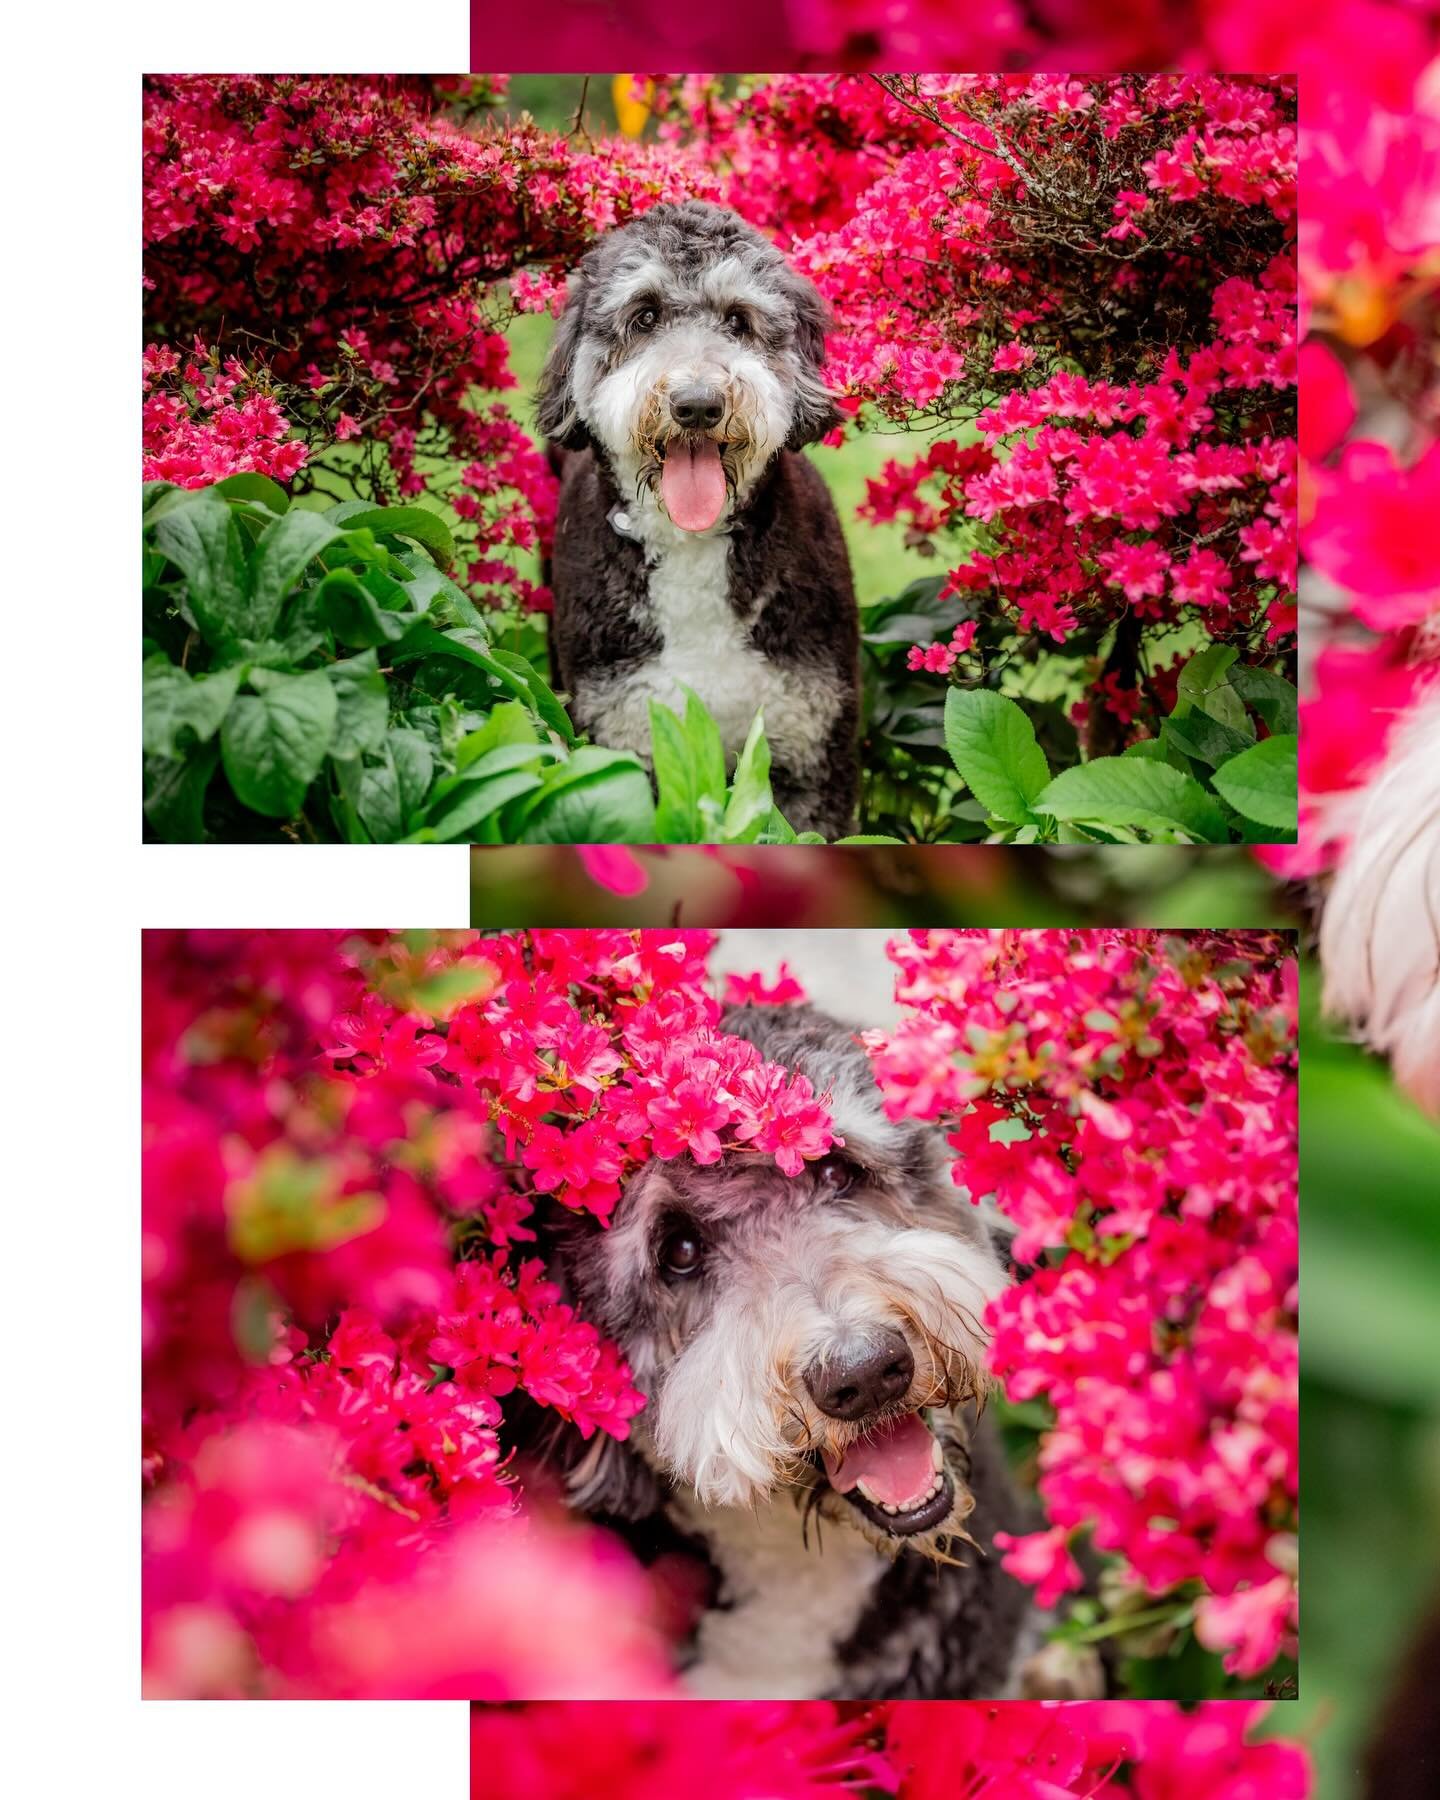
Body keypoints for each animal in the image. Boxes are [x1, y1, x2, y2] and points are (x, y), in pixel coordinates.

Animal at [532, 202, 860, 835]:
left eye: (738, 320)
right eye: (644, 315)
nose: (698, 405)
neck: (692, 546)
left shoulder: (810, 755)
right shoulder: (625, 737)